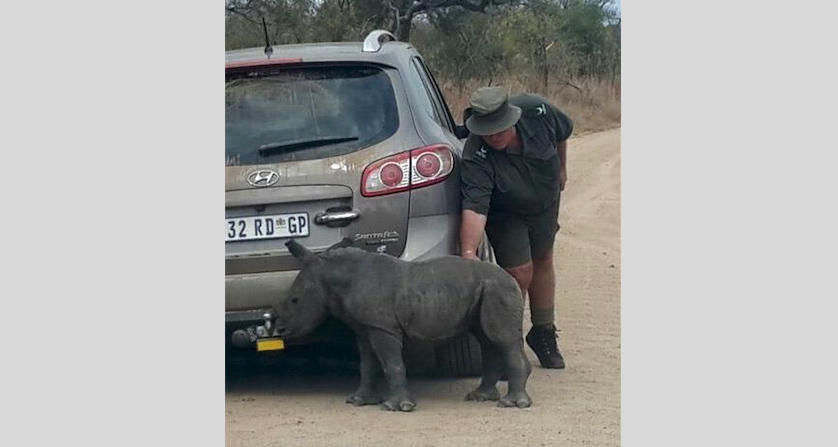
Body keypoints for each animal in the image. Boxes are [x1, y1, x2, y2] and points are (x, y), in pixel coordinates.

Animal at [275, 238, 532, 411]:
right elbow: (367, 364)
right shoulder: (366, 327)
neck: (333, 276)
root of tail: (510, 277)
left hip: (497, 289)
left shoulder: (383, 328)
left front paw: (396, 407)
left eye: (294, 300)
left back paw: (512, 404)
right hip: (485, 290)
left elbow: (391, 363)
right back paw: (481, 397)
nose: (279, 328)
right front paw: (359, 401)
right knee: (486, 339)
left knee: (501, 339)